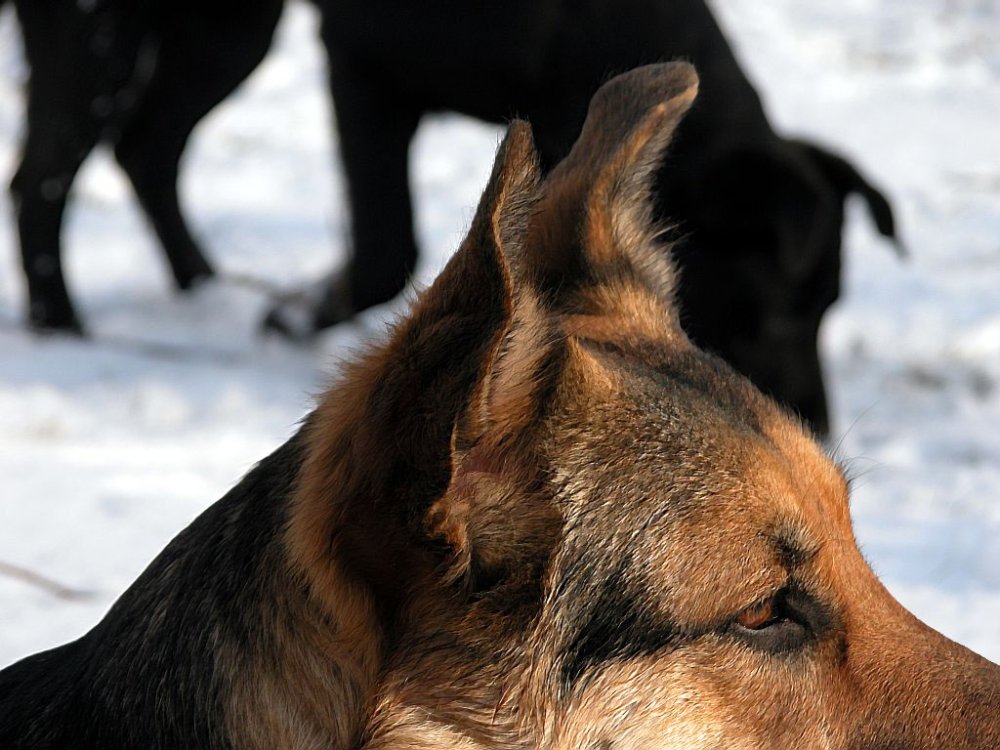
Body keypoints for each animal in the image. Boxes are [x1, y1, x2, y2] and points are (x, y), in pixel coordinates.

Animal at [2, 0, 282, 334]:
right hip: (101, 43)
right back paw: (61, 322)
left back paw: (204, 287)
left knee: (145, 150)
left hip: (225, 34)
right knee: (39, 181)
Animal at [280, 0, 900, 440]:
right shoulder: (362, 67)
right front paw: (298, 312)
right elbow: (386, 252)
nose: (820, 427)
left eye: (830, 308)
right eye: (776, 320)